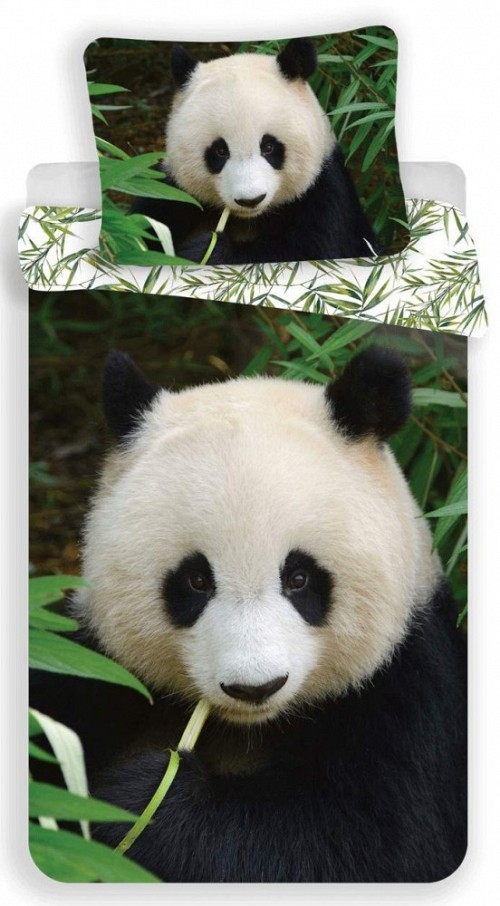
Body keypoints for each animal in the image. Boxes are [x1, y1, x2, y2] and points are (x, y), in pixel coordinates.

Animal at [30, 346, 466, 883]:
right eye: (196, 580)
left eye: (299, 578)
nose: (255, 687)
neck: (246, 727)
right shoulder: (93, 663)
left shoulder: (410, 691)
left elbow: (360, 845)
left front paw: (142, 801)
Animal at [132, 39, 382, 264]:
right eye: (220, 151)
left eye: (269, 147)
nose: (250, 200)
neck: (248, 219)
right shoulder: (172, 192)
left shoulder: (323, 196)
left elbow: (301, 253)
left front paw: (205, 250)